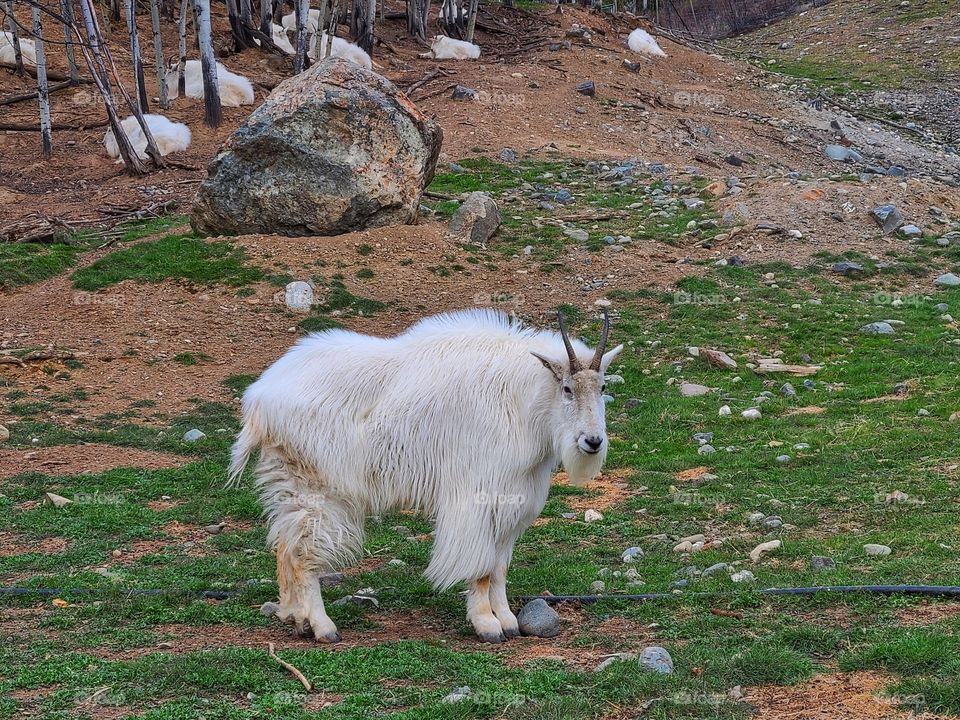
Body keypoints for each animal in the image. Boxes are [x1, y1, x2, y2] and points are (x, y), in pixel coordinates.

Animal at [229, 309, 622, 643]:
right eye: (568, 388)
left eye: (602, 387)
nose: (592, 441)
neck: (522, 400)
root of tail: (258, 398)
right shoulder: (478, 496)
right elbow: (482, 568)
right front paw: (487, 625)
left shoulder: (512, 500)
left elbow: (499, 567)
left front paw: (509, 621)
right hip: (317, 489)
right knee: (303, 555)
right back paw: (323, 627)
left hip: (290, 483)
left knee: (285, 547)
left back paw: (296, 619)